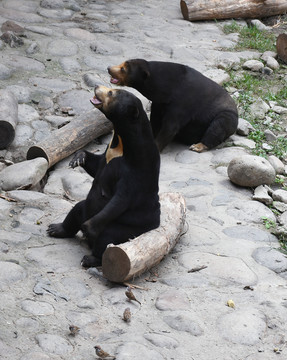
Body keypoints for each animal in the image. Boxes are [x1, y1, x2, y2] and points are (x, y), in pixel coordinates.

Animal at [47, 86, 161, 268]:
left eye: (111, 93)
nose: (96, 87)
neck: (121, 141)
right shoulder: (109, 153)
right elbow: (96, 164)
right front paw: (77, 158)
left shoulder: (136, 169)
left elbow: (120, 200)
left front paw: (87, 228)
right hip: (84, 207)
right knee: (75, 211)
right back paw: (55, 229)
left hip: (126, 227)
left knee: (107, 237)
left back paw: (90, 258)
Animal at [108, 58, 238, 153]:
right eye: (121, 64)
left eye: (123, 69)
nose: (108, 68)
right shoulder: (159, 102)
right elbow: (155, 120)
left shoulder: (182, 102)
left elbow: (170, 127)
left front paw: (155, 148)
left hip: (226, 115)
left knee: (218, 127)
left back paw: (197, 146)